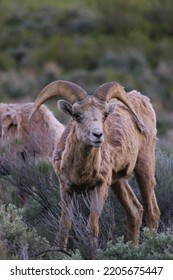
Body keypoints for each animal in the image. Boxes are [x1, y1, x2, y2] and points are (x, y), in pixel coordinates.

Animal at [29, 80, 160, 258]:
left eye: (104, 115)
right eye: (77, 115)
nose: (97, 135)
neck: (81, 170)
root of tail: (143, 99)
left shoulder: (99, 187)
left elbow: (92, 226)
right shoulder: (66, 188)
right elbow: (65, 224)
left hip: (144, 166)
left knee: (152, 212)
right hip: (118, 182)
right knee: (135, 211)